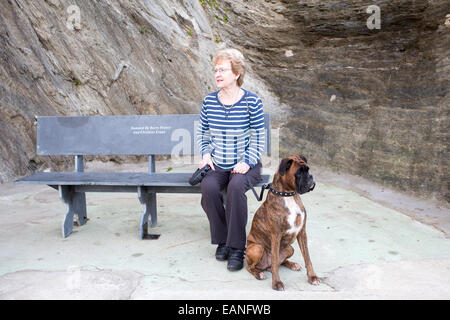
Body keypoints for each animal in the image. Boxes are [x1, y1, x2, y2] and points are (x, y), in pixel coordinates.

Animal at [246, 154, 320, 290]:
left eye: (308, 169)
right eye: (299, 172)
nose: (311, 177)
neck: (288, 195)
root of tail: (265, 266)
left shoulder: (302, 232)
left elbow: (307, 257)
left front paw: (312, 277)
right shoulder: (276, 235)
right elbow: (275, 262)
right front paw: (276, 283)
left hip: (290, 248)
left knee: (281, 262)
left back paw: (292, 264)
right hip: (257, 248)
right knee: (251, 267)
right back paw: (259, 274)